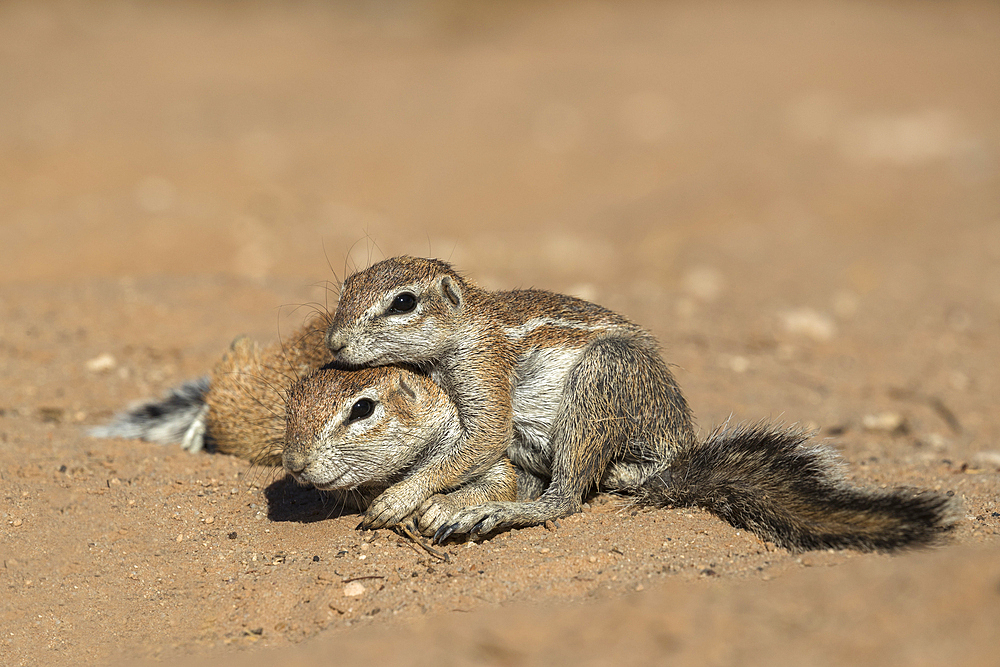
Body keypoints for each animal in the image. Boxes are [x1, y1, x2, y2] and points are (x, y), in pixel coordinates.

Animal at [324, 256, 956, 548]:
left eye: (403, 303)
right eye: (345, 289)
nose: (334, 343)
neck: (466, 328)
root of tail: (676, 459)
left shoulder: (486, 373)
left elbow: (481, 439)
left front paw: (401, 498)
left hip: (602, 380)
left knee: (565, 501)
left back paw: (488, 513)